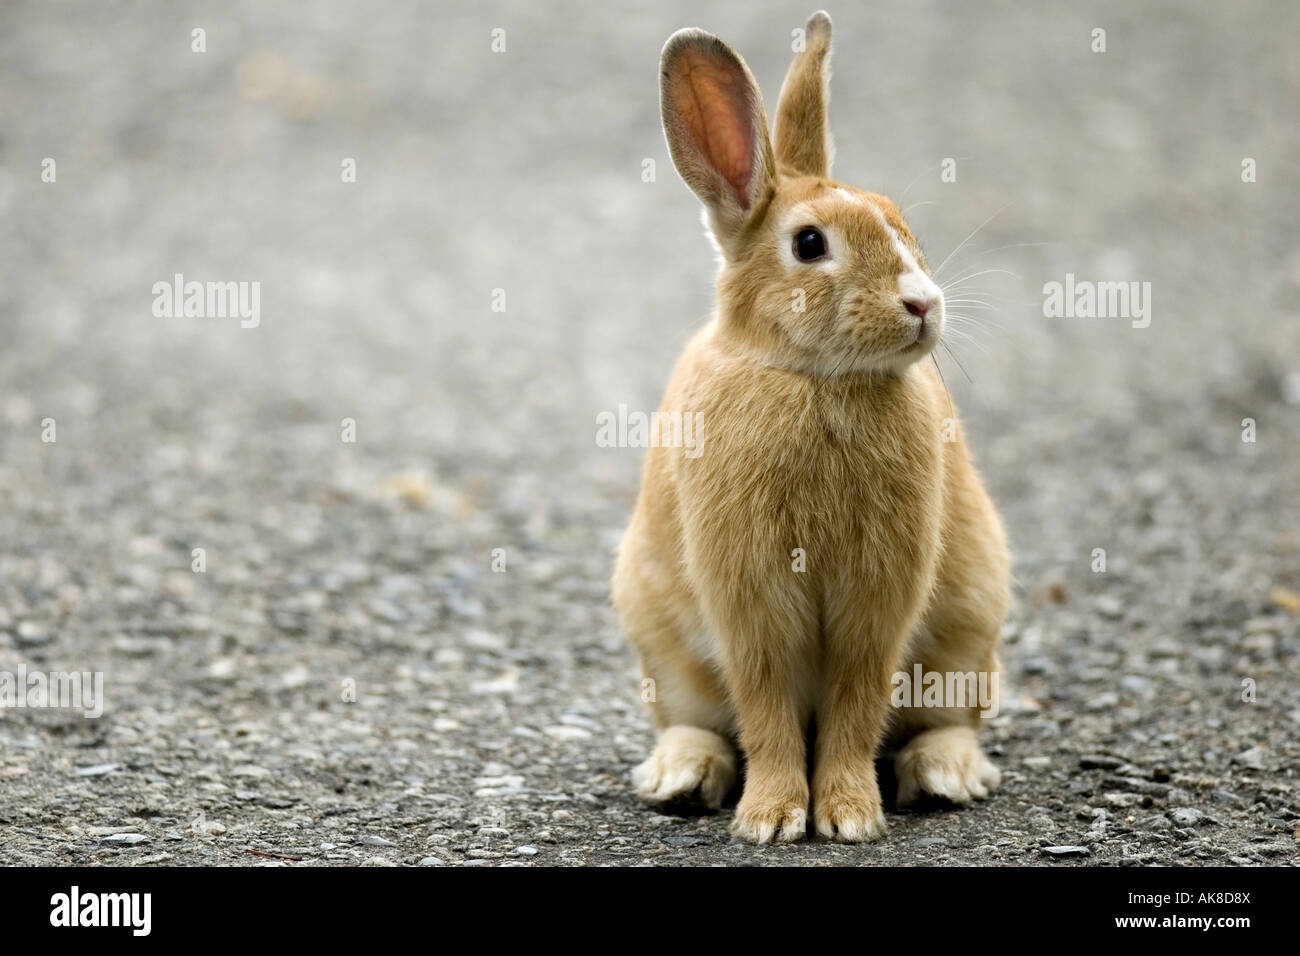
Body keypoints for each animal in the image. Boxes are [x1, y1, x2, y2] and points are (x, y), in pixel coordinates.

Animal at [611, 10, 1011, 844]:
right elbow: (765, 709)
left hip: (969, 632)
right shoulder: (748, 599)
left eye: (900, 221)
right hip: (663, 648)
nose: (924, 304)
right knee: (696, 720)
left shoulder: (879, 599)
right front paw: (771, 819)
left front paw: (849, 816)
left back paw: (945, 777)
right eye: (808, 244)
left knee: (949, 719)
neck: (817, 382)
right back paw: (679, 778)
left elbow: (858, 704)